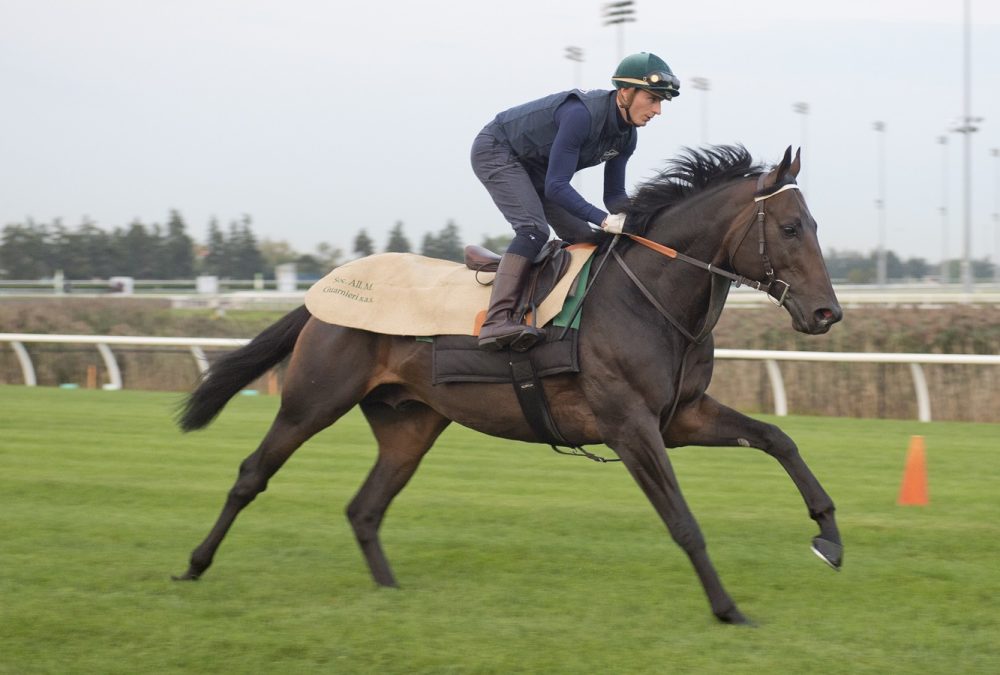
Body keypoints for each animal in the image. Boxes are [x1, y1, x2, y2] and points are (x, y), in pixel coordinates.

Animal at [174, 145, 844, 624]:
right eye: (790, 227)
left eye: (815, 223)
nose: (826, 314)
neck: (648, 297)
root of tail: (321, 296)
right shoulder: (629, 425)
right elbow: (682, 520)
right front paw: (728, 609)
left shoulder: (683, 416)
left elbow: (778, 439)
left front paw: (829, 538)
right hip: (314, 400)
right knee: (252, 473)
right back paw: (194, 565)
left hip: (409, 423)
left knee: (365, 507)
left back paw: (390, 592)